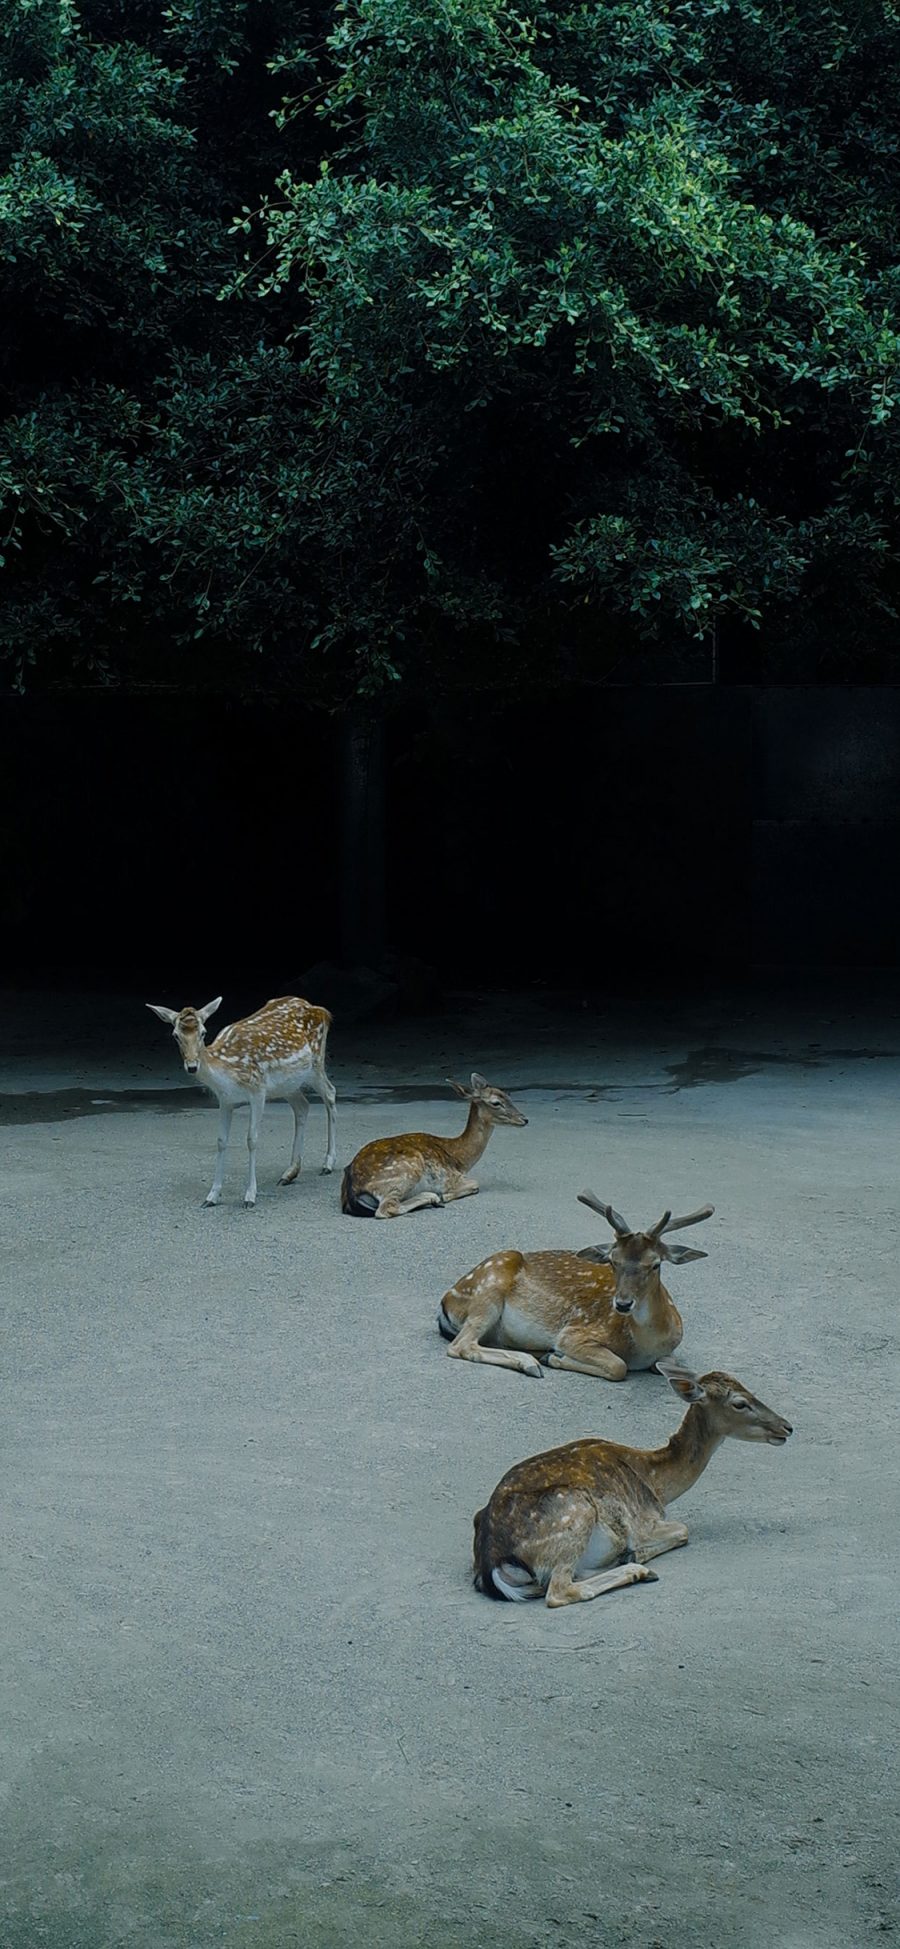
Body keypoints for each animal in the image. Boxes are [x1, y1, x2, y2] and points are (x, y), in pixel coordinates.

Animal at [148, 990, 337, 1200]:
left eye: (203, 1032)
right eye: (175, 1035)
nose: (192, 1066)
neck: (227, 1072)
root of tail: (321, 1010)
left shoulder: (258, 1090)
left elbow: (252, 1139)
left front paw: (250, 1195)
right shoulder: (225, 1100)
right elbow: (221, 1141)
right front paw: (212, 1196)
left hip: (315, 1064)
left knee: (330, 1093)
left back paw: (328, 1163)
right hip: (288, 1084)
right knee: (302, 1106)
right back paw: (289, 1173)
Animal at [338, 1075, 525, 1223]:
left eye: (507, 1096)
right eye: (496, 1103)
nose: (524, 1119)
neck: (460, 1158)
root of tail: (352, 1188)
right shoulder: (450, 1178)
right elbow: (474, 1184)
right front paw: (445, 1196)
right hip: (406, 1170)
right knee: (386, 1209)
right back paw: (432, 1197)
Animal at [440, 1192, 712, 1379]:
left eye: (655, 1264)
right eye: (613, 1261)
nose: (623, 1304)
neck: (646, 1345)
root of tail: (445, 1302)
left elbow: (664, 1364)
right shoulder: (574, 1334)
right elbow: (618, 1366)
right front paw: (554, 1357)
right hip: (488, 1290)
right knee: (461, 1345)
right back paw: (531, 1363)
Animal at [475, 1364, 790, 1605]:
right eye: (739, 1403)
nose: (787, 1426)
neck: (656, 1482)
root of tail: (491, 1560)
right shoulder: (641, 1522)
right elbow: (683, 1529)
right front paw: (636, 1552)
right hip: (574, 1511)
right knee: (559, 1591)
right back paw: (635, 1568)